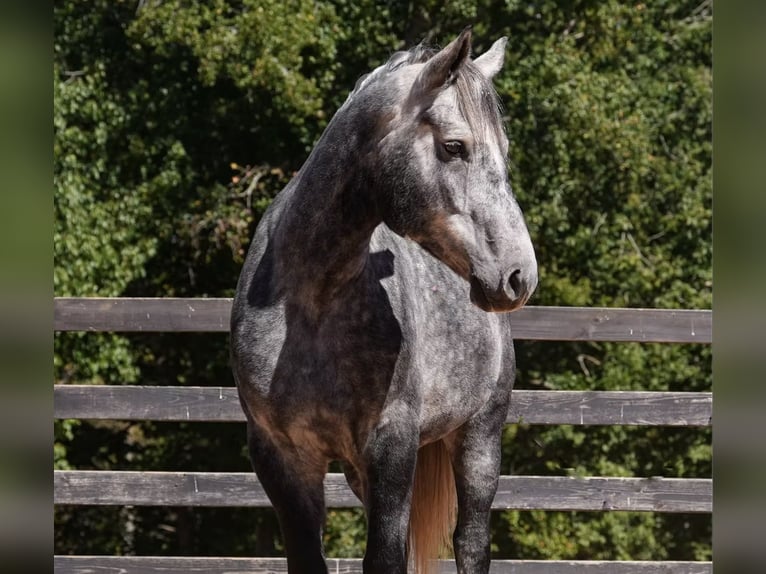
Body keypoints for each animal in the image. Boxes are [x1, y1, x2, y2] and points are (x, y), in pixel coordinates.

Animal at [230, 27, 537, 574]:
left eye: (503, 149)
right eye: (454, 146)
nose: (520, 275)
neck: (310, 305)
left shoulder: (391, 447)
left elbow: (387, 559)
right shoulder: (281, 457)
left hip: (480, 435)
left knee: (471, 541)